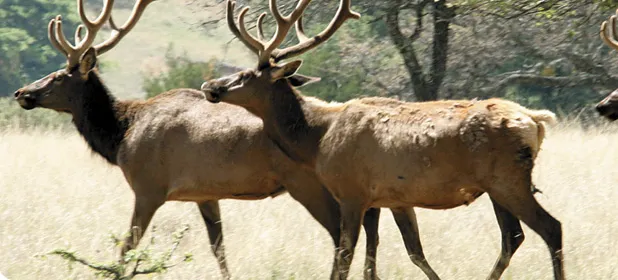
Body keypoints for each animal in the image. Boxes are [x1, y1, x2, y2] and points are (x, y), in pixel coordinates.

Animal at [12, 0, 440, 280]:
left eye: (57, 76)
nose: (21, 92)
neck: (120, 135)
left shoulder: (149, 187)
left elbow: (127, 246)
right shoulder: (205, 194)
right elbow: (219, 248)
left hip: (309, 184)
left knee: (343, 237)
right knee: (370, 234)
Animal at [201, 0, 564, 280]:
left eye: (246, 75)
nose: (210, 87)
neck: (317, 139)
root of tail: (535, 121)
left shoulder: (351, 192)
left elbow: (345, 254)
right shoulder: (389, 199)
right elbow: (402, 253)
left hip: (507, 180)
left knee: (551, 228)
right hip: (496, 187)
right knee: (512, 237)